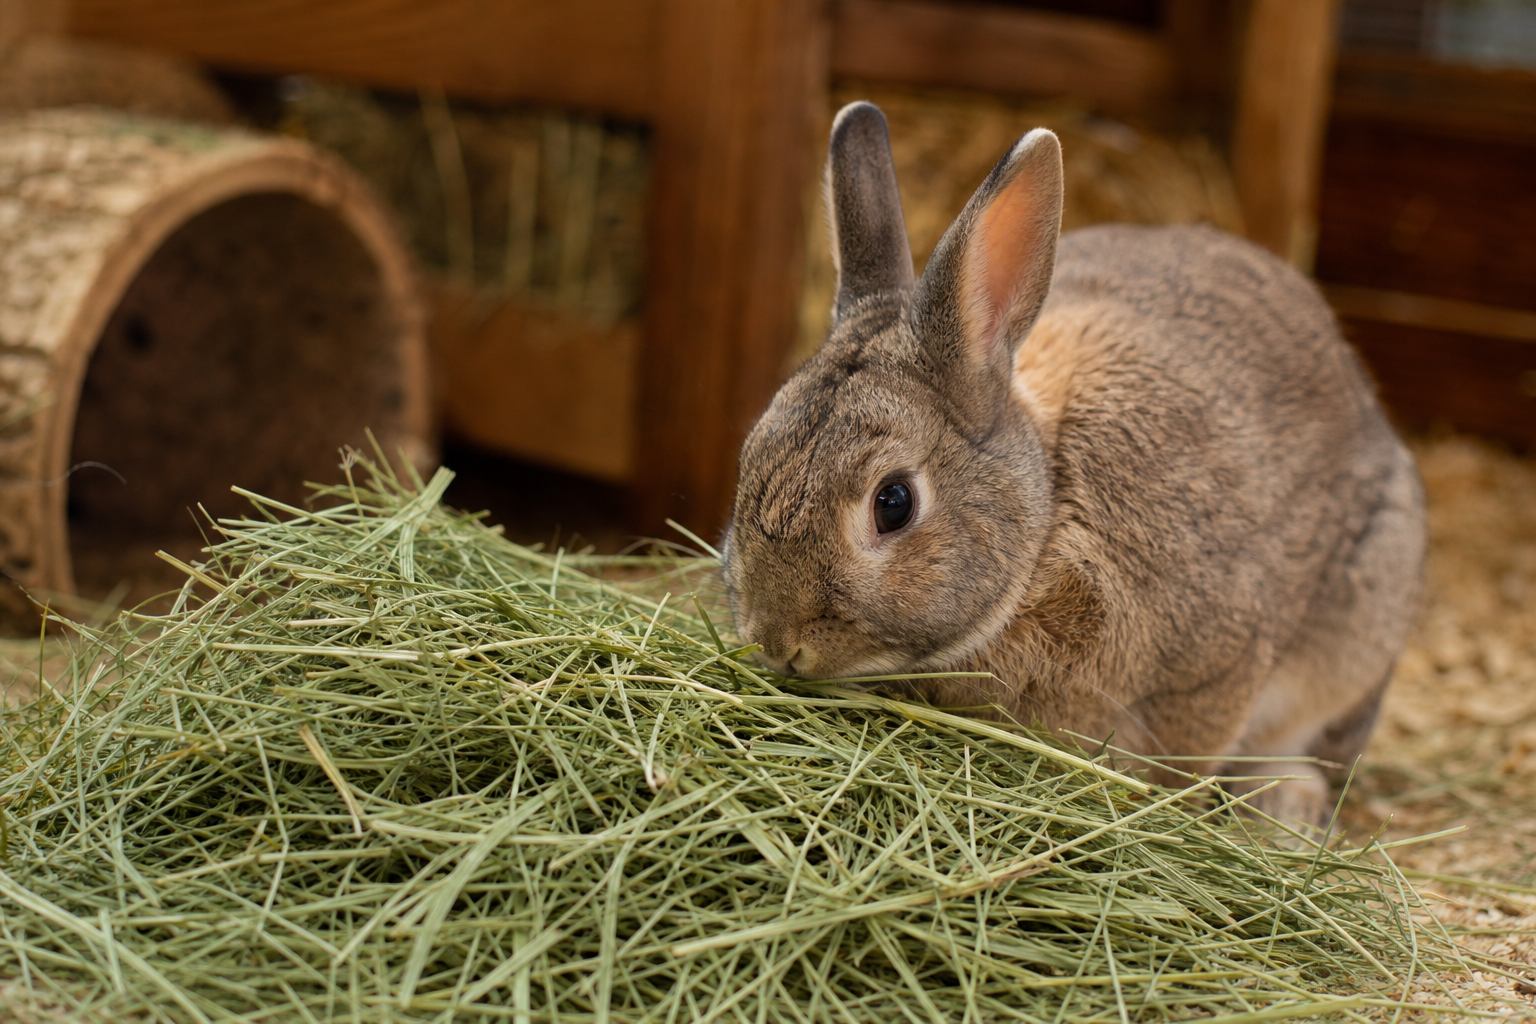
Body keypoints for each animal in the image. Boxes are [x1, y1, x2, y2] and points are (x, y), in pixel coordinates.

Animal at [719, 102, 1426, 827]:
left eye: (893, 503)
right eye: (752, 456)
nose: (776, 642)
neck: (1045, 529)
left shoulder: (1217, 670)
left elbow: (1188, 760)